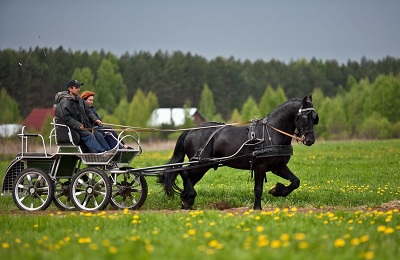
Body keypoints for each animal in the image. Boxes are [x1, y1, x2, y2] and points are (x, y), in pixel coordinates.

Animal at [158, 95, 318, 209]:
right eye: (305, 118)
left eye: (315, 118)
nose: (310, 140)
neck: (271, 133)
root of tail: (191, 130)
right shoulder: (260, 166)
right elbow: (258, 189)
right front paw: (257, 208)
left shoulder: (278, 167)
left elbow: (295, 181)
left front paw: (278, 190)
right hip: (200, 163)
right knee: (184, 172)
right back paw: (189, 197)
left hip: (202, 166)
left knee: (189, 178)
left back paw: (186, 201)